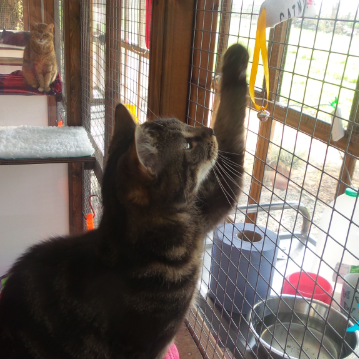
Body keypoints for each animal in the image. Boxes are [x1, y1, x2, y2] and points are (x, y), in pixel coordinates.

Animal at [0, 44, 249, 359]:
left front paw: (236, 57)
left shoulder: (207, 206)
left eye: (184, 123)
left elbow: (231, 140)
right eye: (186, 145)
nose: (208, 131)